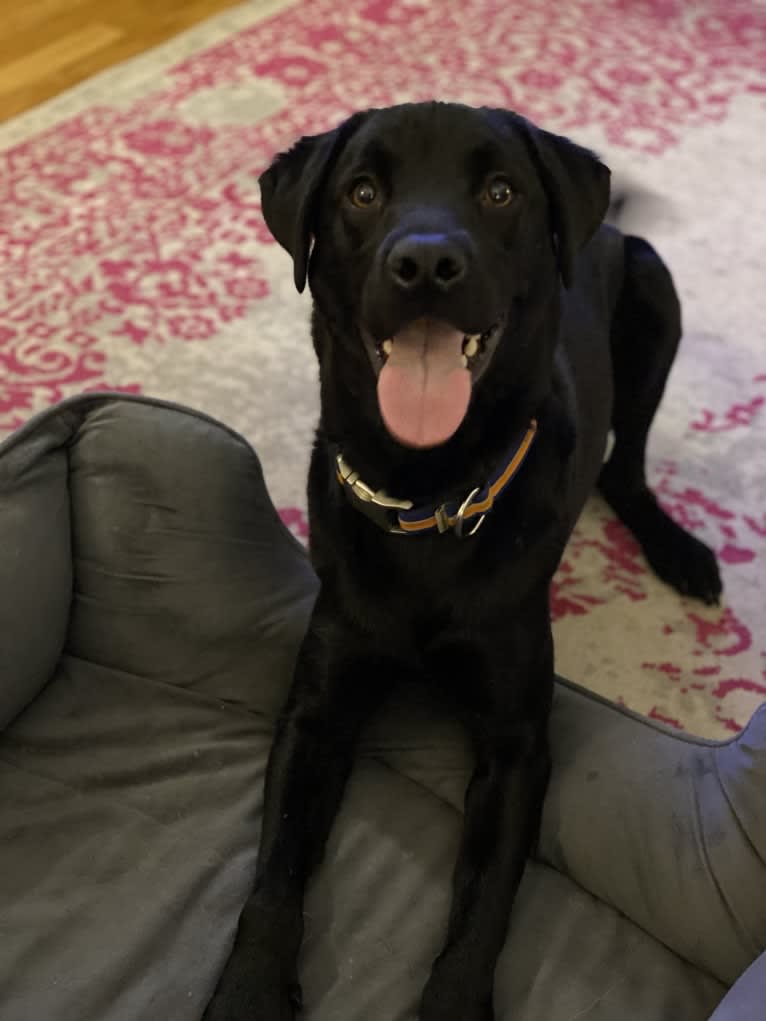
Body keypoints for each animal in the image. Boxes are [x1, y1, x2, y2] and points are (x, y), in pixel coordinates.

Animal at [202, 103, 719, 1021]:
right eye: (362, 192)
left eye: (501, 191)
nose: (426, 264)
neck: (430, 493)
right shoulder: (317, 708)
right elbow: (274, 874)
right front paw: (250, 991)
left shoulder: (516, 745)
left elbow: (482, 906)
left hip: (657, 296)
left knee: (625, 468)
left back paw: (680, 549)